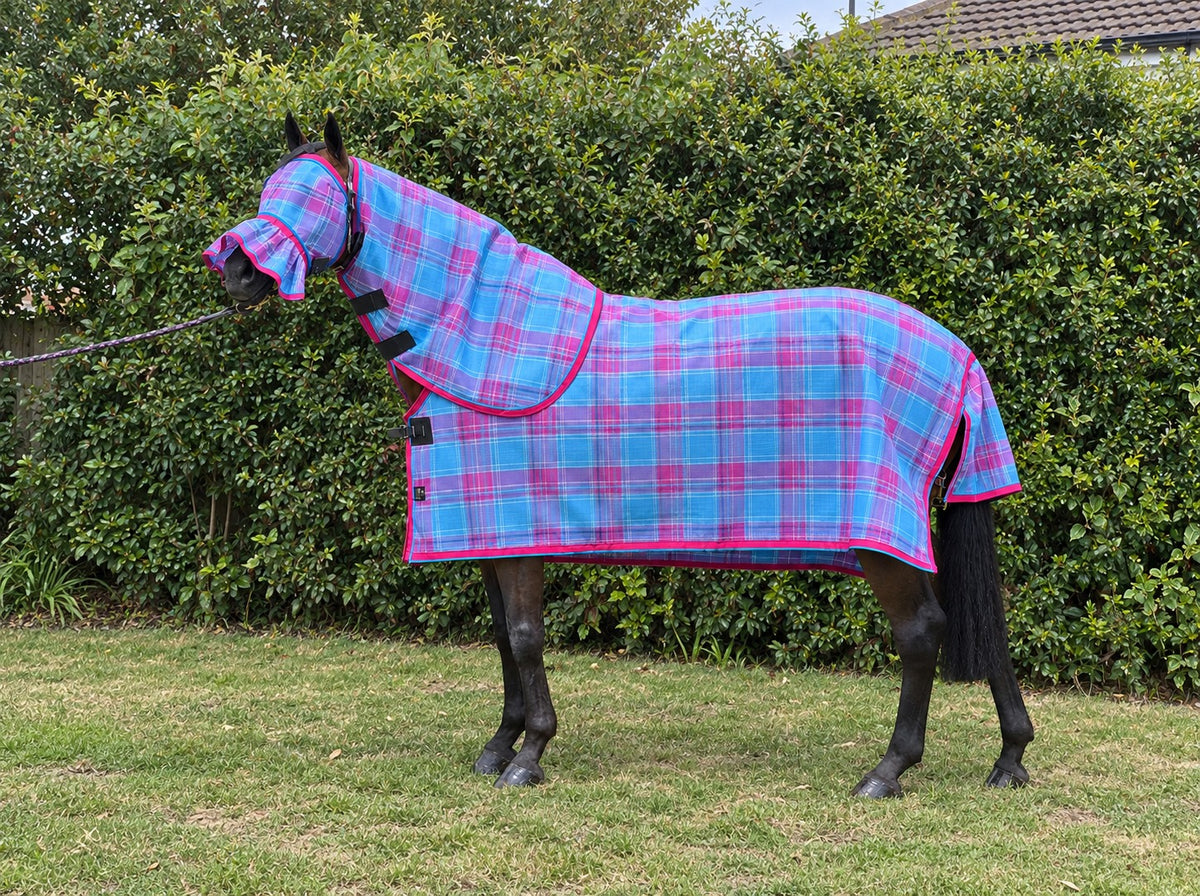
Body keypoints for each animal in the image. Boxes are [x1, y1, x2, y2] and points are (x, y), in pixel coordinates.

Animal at [205, 112, 1034, 798]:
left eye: (315, 198)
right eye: (270, 189)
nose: (236, 271)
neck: (480, 342)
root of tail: (957, 353)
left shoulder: (521, 533)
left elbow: (528, 638)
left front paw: (530, 756)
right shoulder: (491, 535)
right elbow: (503, 639)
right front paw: (498, 747)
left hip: (879, 539)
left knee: (921, 634)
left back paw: (888, 770)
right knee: (974, 623)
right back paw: (1010, 758)